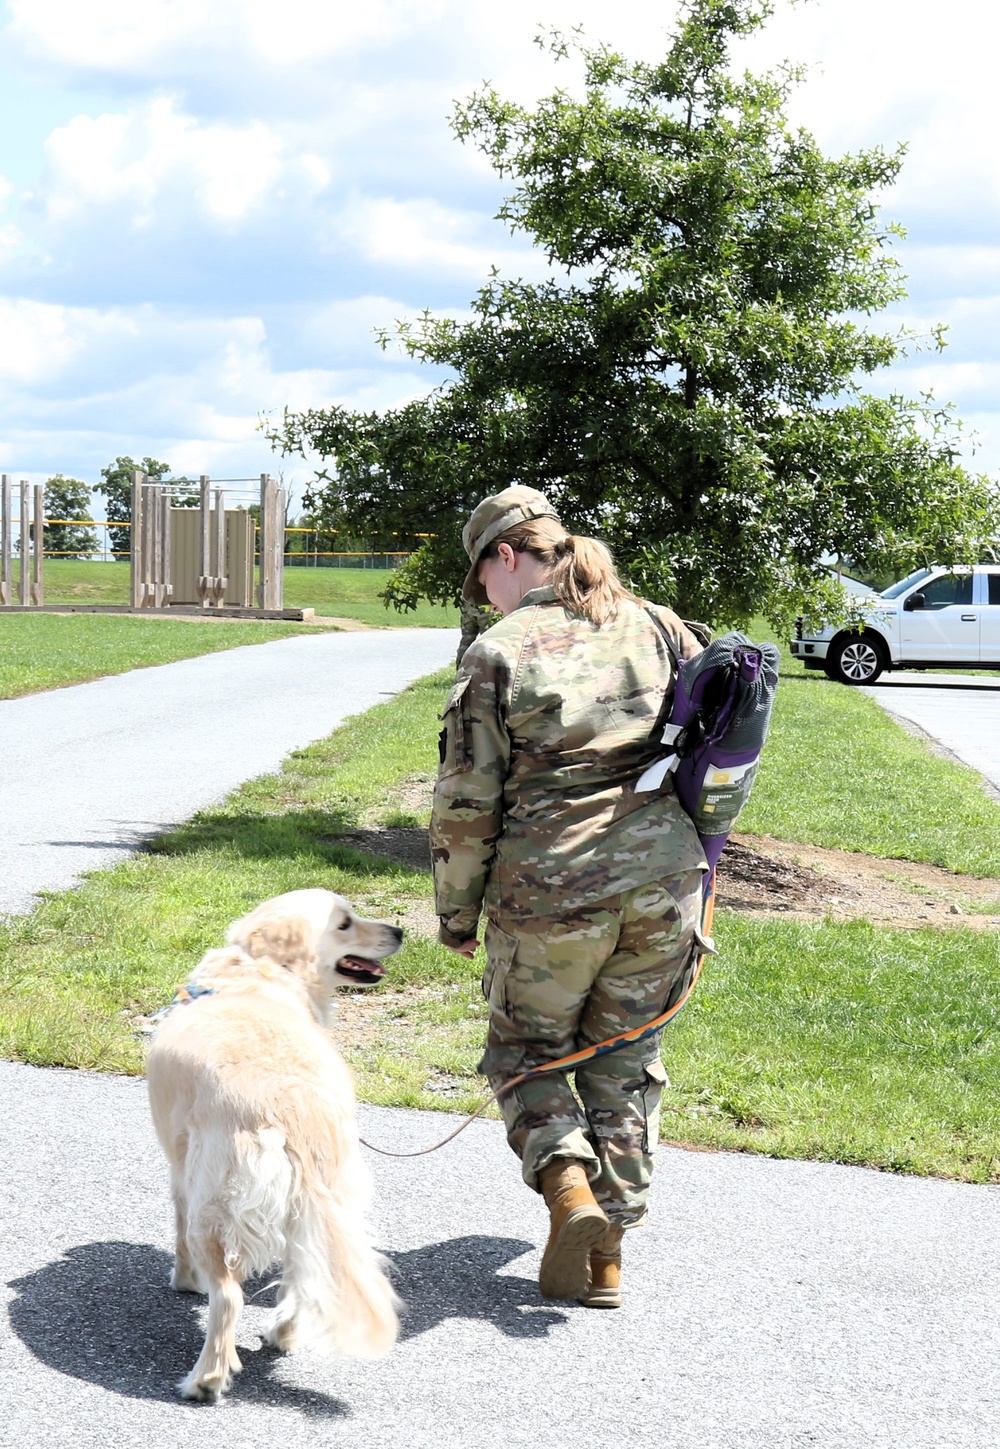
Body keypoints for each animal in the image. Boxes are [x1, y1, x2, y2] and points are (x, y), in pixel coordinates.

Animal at [147, 886, 400, 1396]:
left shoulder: (181, 1170)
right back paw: (283, 1334)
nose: (400, 932)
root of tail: (296, 1112)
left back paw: (205, 1379)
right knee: (305, 1278)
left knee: (229, 1297)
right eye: (345, 923)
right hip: (324, 1203)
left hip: (214, 1203)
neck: (260, 968)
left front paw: (184, 1281)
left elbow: (177, 1230)